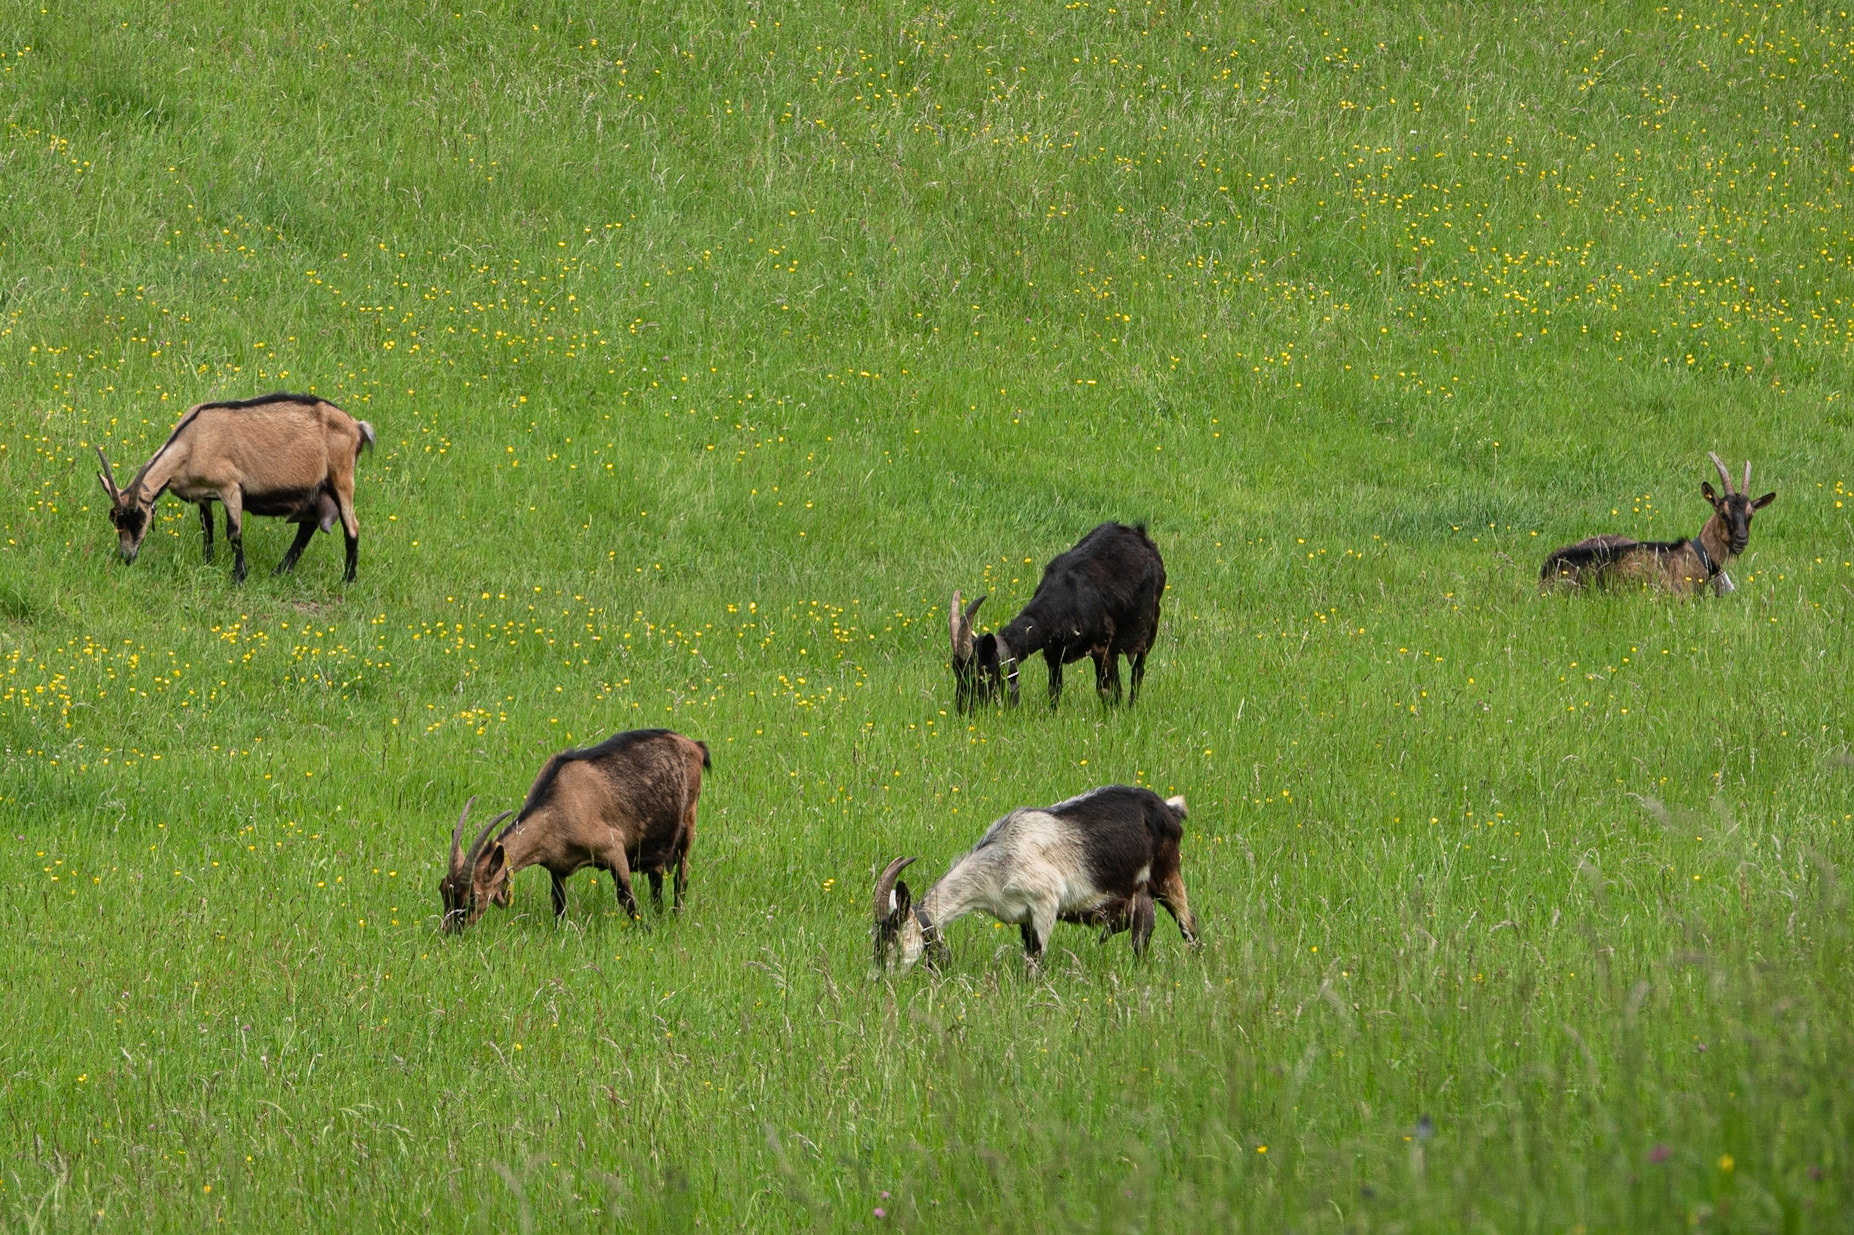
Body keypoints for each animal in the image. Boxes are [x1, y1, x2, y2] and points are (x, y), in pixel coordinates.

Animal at [94, 392, 374, 582]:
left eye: (139, 519)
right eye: (115, 520)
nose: (127, 557)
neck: (192, 442)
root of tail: (357, 426)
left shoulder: (230, 487)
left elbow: (234, 533)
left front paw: (239, 576)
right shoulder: (203, 496)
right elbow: (207, 526)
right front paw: (208, 562)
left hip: (341, 476)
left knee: (351, 526)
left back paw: (348, 580)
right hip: (314, 489)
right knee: (308, 525)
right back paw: (280, 570)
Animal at [439, 728, 709, 933]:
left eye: (473, 897)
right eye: (443, 889)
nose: (450, 931)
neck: (558, 805)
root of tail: (695, 746)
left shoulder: (614, 848)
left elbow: (626, 898)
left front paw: (646, 932)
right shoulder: (557, 867)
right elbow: (559, 906)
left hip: (688, 821)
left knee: (681, 877)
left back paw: (676, 916)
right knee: (656, 879)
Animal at [872, 785, 1200, 973]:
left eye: (890, 940)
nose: (879, 979)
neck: (1000, 863)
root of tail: (1170, 810)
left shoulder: (1045, 903)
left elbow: (1037, 959)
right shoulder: (1024, 917)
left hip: (1167, 874)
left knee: (1188, 922)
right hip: (1139, 893)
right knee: (1142, 932)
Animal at [951, 522, 1166, 712]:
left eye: (982, 672)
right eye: (955, 669)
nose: (964, 710)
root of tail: (1140, 533)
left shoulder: (1101, 648)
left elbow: (1105, 690)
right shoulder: (1053, 654)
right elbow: (1055, 689)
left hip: (1150, 626)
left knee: (1137, 671)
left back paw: (1130, 707)